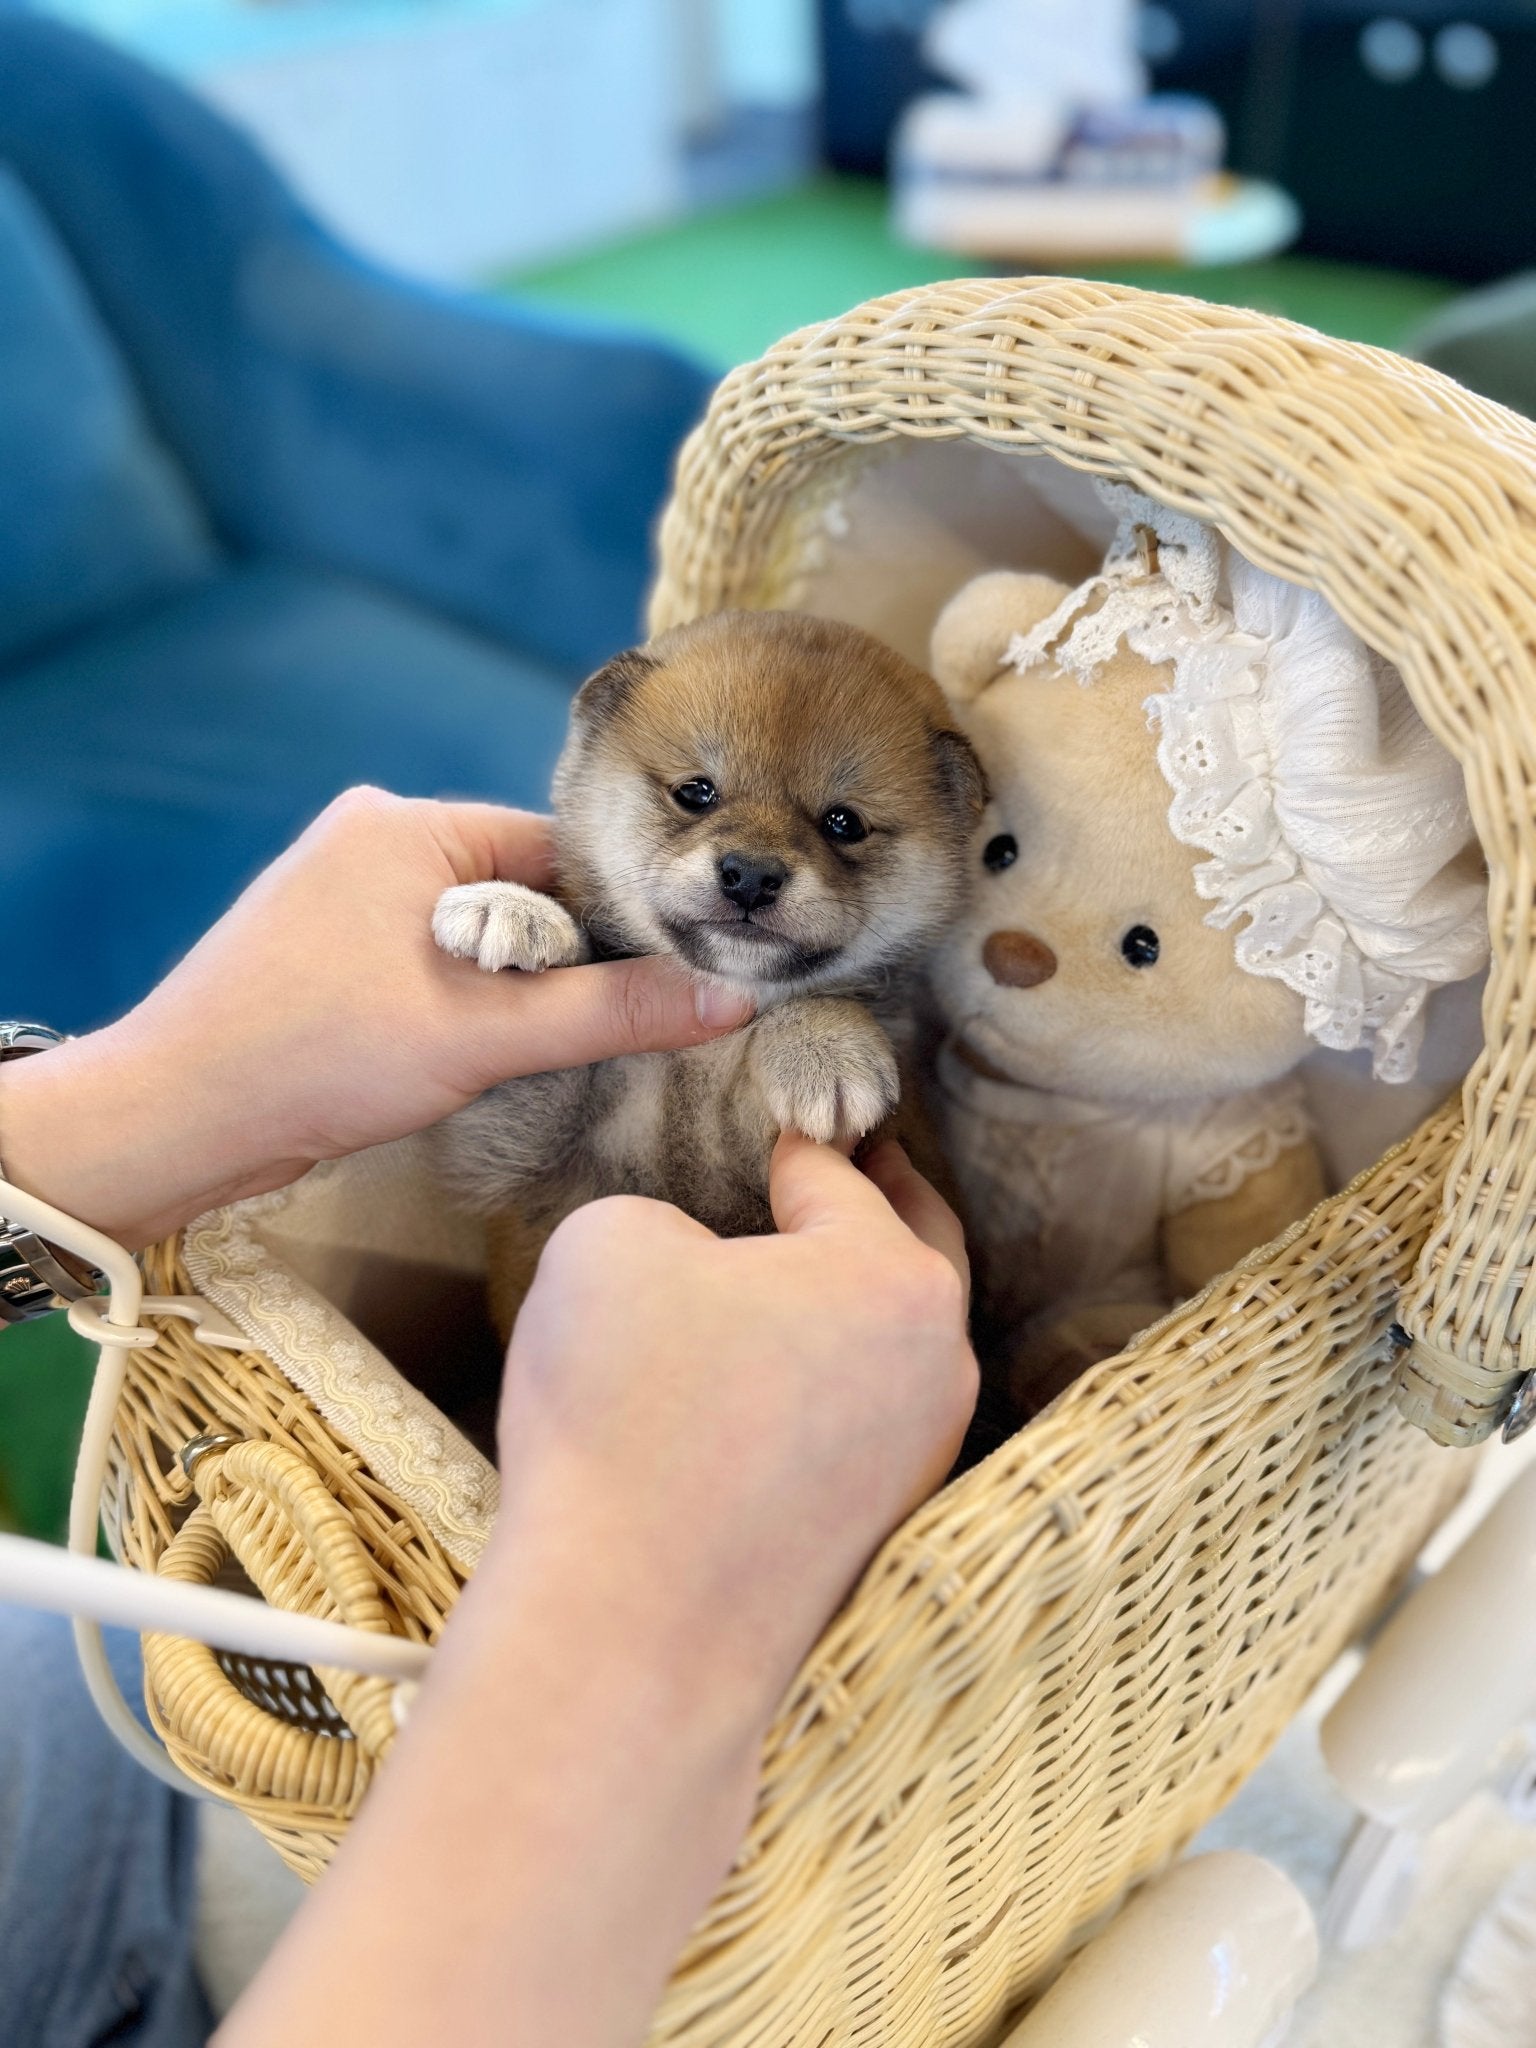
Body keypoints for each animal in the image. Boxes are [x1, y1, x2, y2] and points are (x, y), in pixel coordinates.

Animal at [434, 602, 987, 1327]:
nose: (750, 874)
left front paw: (825, 1044)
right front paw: (512, 908)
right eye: (696, 792)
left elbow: (819, 1011)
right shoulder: (517, 1155)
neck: (697, 1060)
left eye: (842, 823)